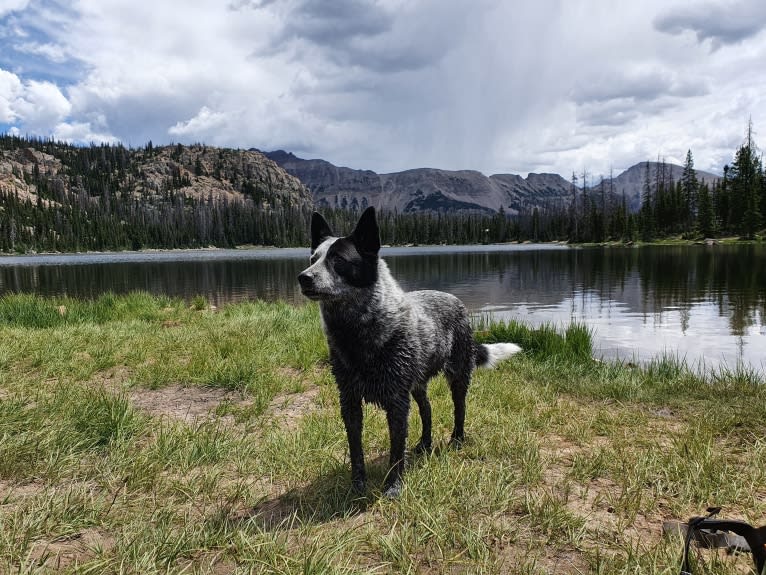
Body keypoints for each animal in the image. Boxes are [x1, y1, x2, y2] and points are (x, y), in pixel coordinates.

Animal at [296, 208, 520, 500]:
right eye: (313, 259)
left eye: (339, 260)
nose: (303, 277)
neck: (359, 332)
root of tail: (455, 300)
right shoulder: (349, 401)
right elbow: (356, 451)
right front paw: (357, 486)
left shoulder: (396, 403)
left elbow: (395, 452)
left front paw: (393, 486)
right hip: (417, 384)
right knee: (427, 409)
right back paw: (425, 443)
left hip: (458, 376)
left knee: (460, 408)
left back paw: (457, 440)